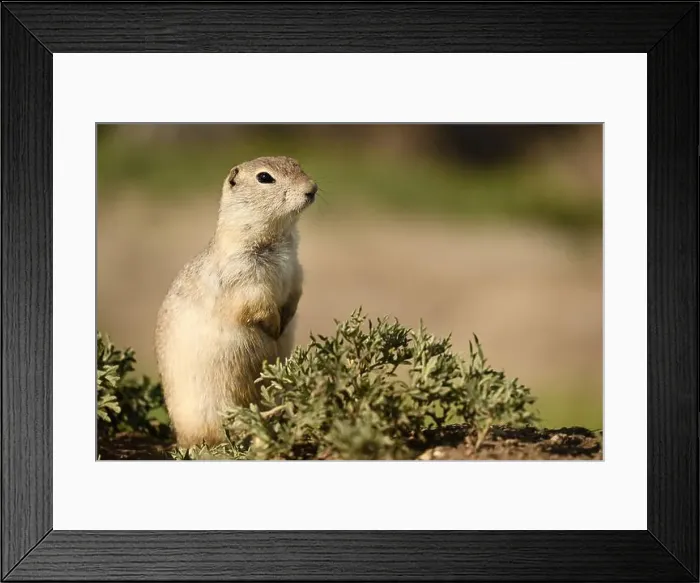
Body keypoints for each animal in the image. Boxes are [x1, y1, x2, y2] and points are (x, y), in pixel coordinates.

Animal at [154, 156, 317, 448]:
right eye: (264, 178)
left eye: (296, 163)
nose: (313, 188)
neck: (278, 237)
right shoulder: (242, 277)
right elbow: (256, 304)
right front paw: (274, 327)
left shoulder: (296, 269)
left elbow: (294, 293)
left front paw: (286, 319)